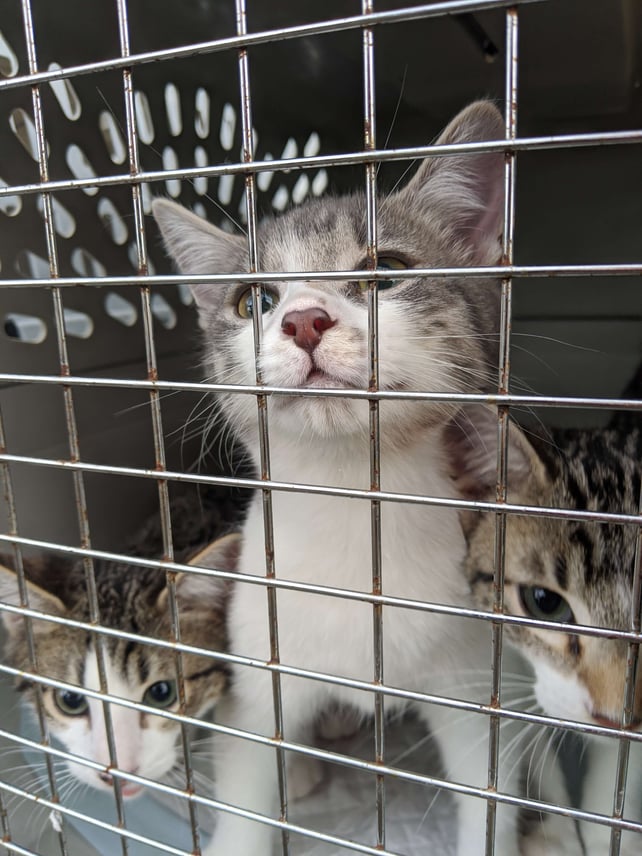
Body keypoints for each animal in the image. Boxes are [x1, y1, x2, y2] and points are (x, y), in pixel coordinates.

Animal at [154, 102, 524, 856]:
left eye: (386, 271)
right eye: (254, 301)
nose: (303, 319)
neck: (356, 505)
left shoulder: (475, 679)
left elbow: (489, 794)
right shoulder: (260, 664)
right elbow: (246, 789)